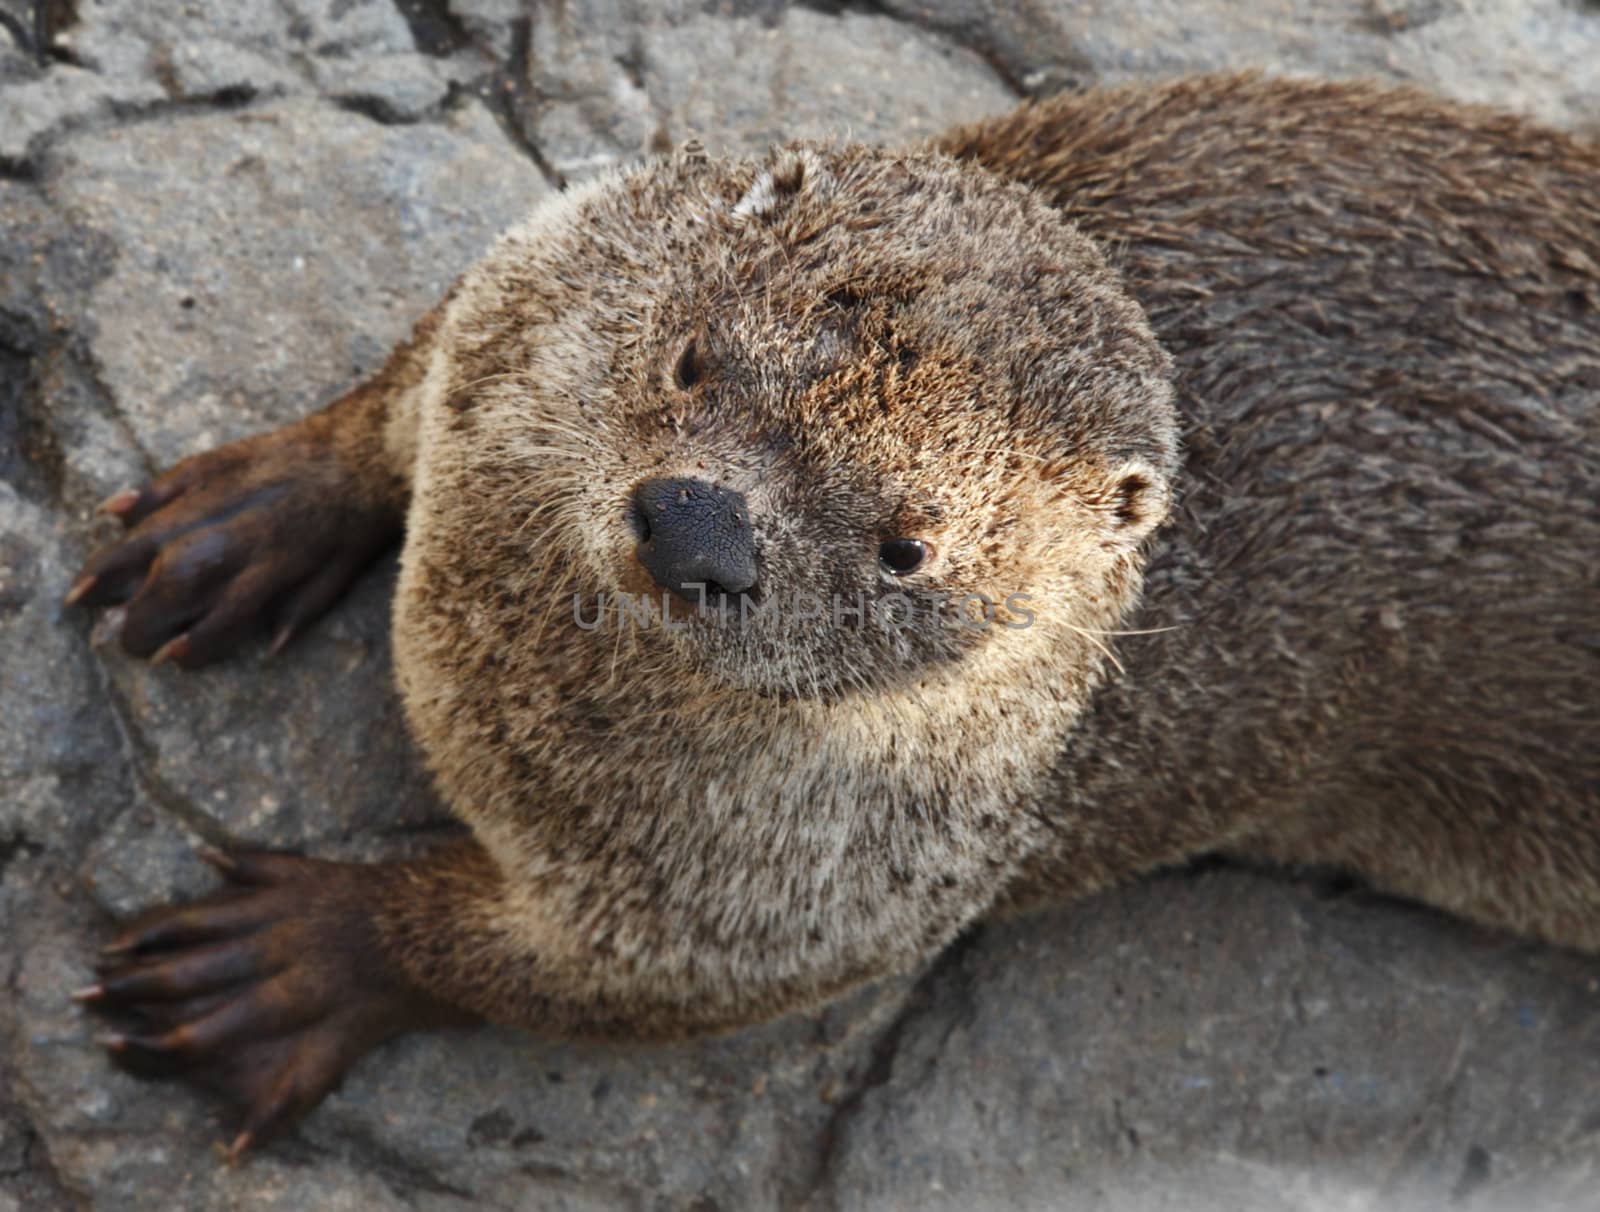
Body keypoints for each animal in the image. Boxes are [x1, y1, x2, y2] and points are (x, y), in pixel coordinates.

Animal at [62, 73, 1600, 1157]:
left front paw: (289, 969)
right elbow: (416, 372)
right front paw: (242, 523)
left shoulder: (799, 912)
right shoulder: (534, 283)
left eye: (906, 547)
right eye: (694, 360)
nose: (694, 530)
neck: (486, 669)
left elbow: (534, 971)